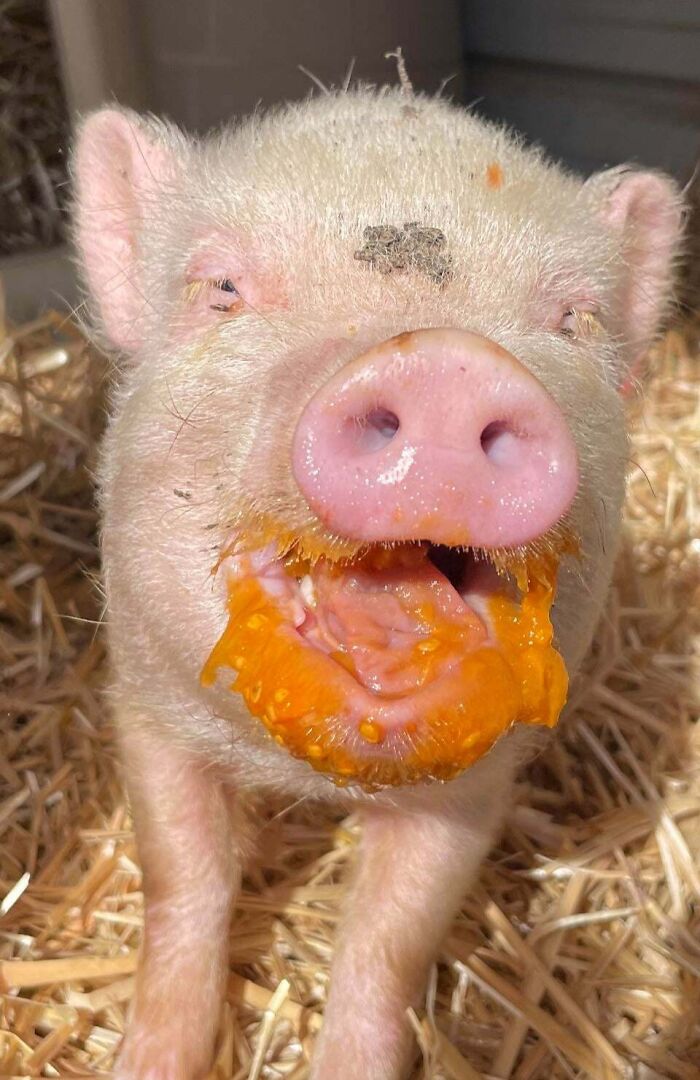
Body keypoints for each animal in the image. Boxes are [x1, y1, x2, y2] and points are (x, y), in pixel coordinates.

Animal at [71, 83, 682, 1079]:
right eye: (222, 289)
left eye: (573, 320)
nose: (446, 364)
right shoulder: (146, 702)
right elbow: (183, 881)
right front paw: (147, 1062)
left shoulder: (469, 792)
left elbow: (389, 943)